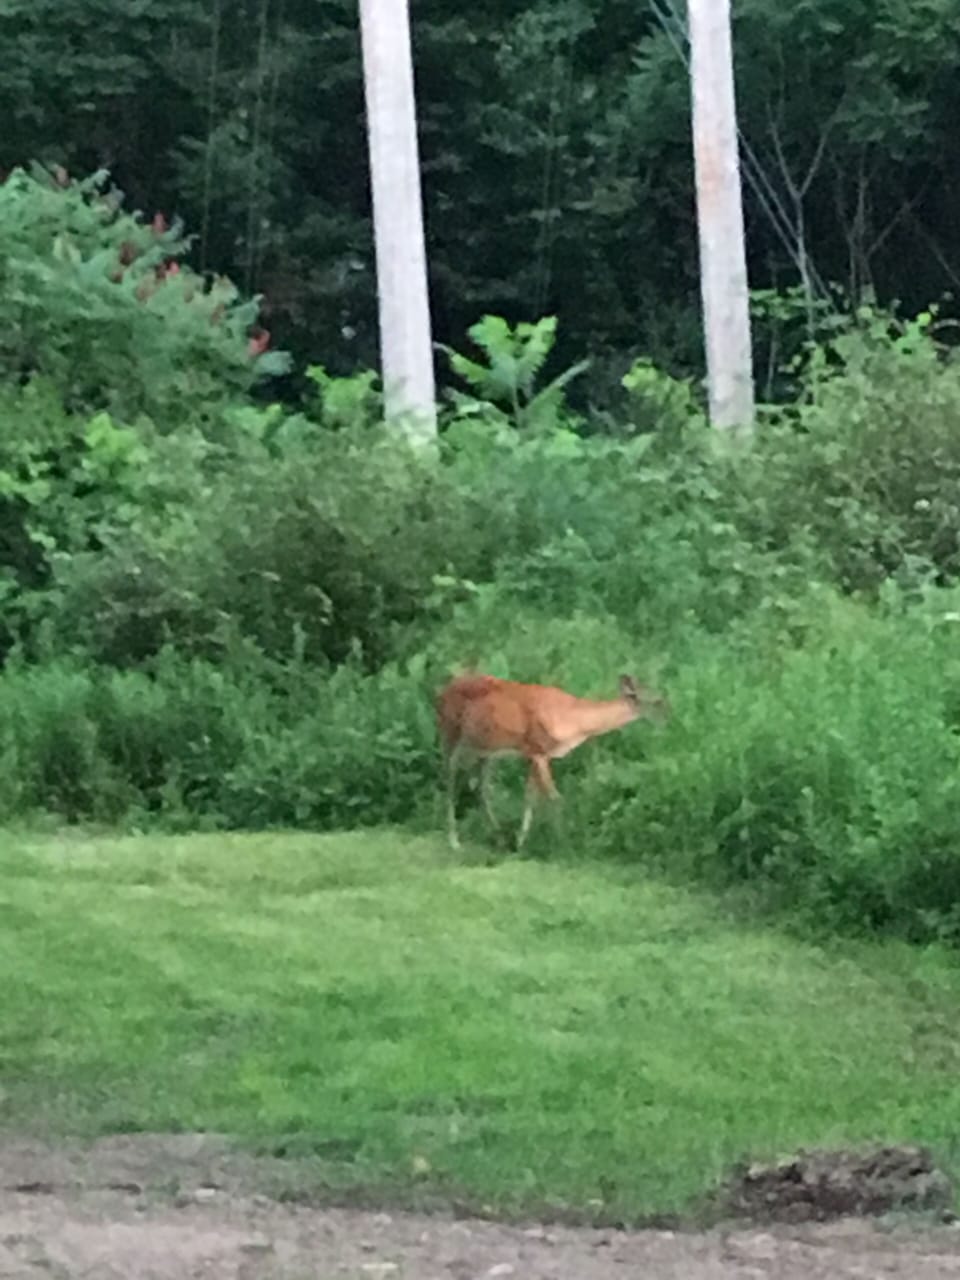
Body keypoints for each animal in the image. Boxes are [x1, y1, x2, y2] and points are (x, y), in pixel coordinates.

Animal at [436, 672, 669, 851]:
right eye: (657, 701)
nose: (668, 719)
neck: (575, 721)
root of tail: (441, 691)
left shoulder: (533, 753)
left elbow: (530, 797)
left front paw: (521, 842)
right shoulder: (538, 749)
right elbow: (555, 798)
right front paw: (564, 843)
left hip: (486, 750)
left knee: (481, 788)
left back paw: (498, 835)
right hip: (450, 733)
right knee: (450, 777)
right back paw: (454, 841)